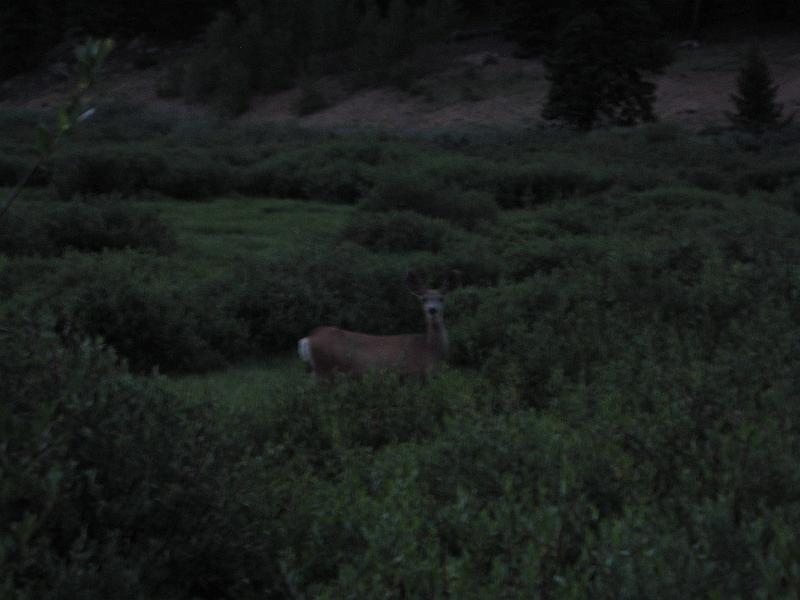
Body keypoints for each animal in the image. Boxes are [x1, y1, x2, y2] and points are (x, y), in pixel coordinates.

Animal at [296, 272, 456, 380]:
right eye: (423, 299)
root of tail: (310, 337)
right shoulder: (413, 375)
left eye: (441, 298)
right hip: (325, 371)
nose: (432, 310)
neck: (429, 350)